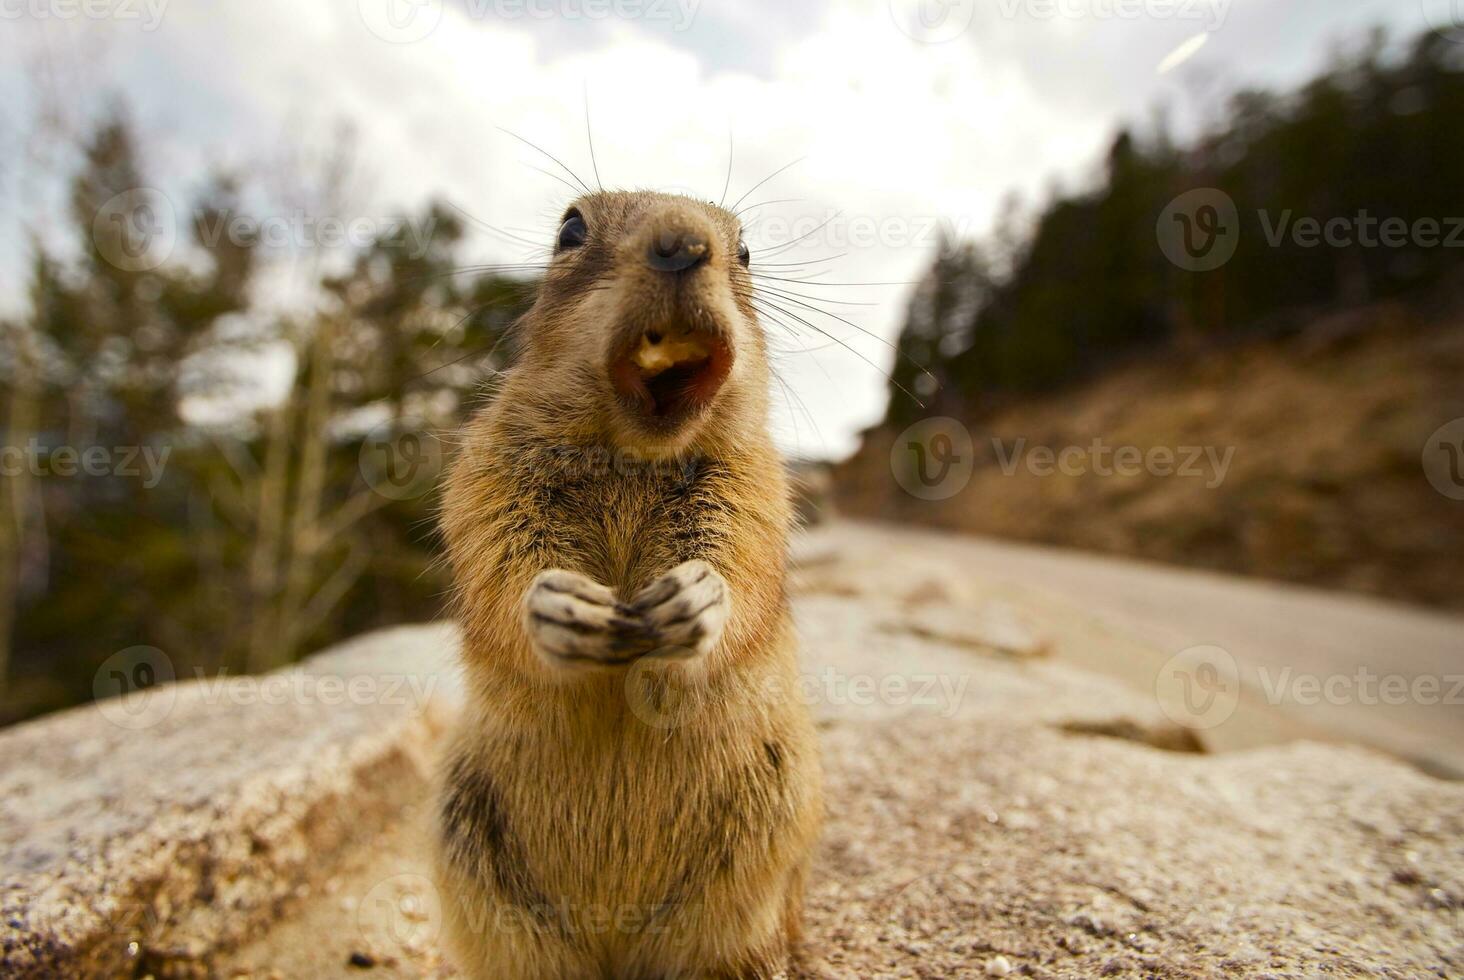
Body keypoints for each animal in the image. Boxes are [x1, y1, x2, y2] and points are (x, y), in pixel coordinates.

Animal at [430, 187, 825, 972]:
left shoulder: (754, 487)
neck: (632, 454)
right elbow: (499, 566)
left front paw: (695, 596)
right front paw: (560, 606)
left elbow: (739, 564)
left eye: (746, 250)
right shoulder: (487, 476)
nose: (682, 242)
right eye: (570, 228)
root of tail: (614, 942)